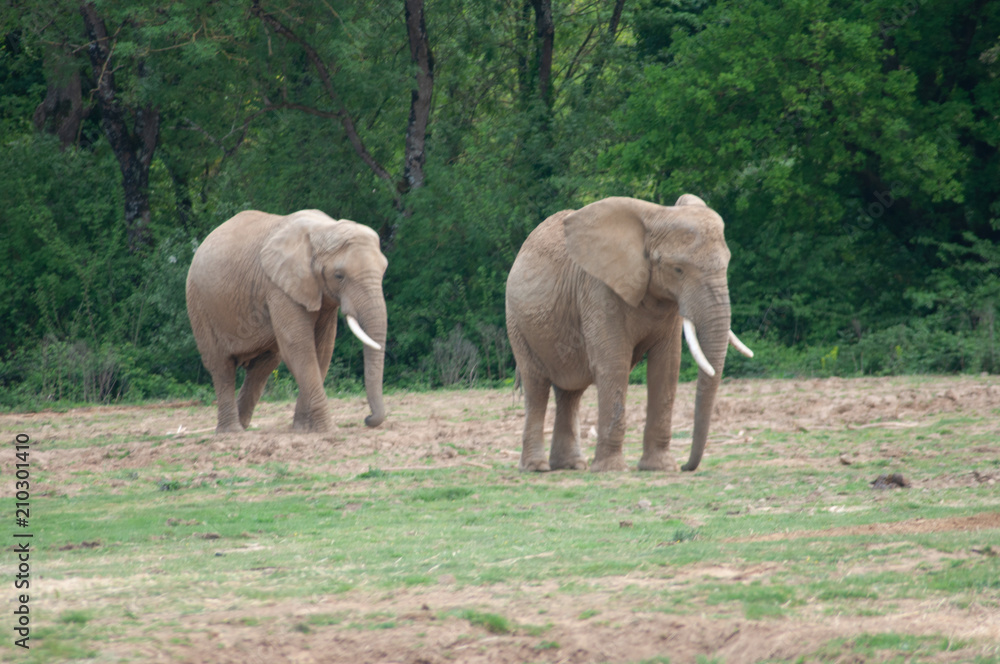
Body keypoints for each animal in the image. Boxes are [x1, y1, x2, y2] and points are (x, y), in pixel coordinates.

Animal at [186, 209, 387, 433]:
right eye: (339, 275)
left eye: (384, 270)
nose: (368, 418)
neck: (325, 229)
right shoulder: (279, 288)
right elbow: (299, 347)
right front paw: (327, 430)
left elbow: (323, 350)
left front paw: (303, 429)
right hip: (199, 304)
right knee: (221, 366)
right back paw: (232, 431)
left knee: (263, 366)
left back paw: (243, 424)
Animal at [505, 195, 753, 472]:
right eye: (678, 269)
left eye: (727, 262)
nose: (686, 467)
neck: (657, 217)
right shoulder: (598, 289)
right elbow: (613, 364)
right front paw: (612, 469)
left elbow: (666, 367)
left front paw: (660, 467)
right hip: (517, 321)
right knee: (536, 386)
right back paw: (536, 467)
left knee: (570, 392)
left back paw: (572, 465)